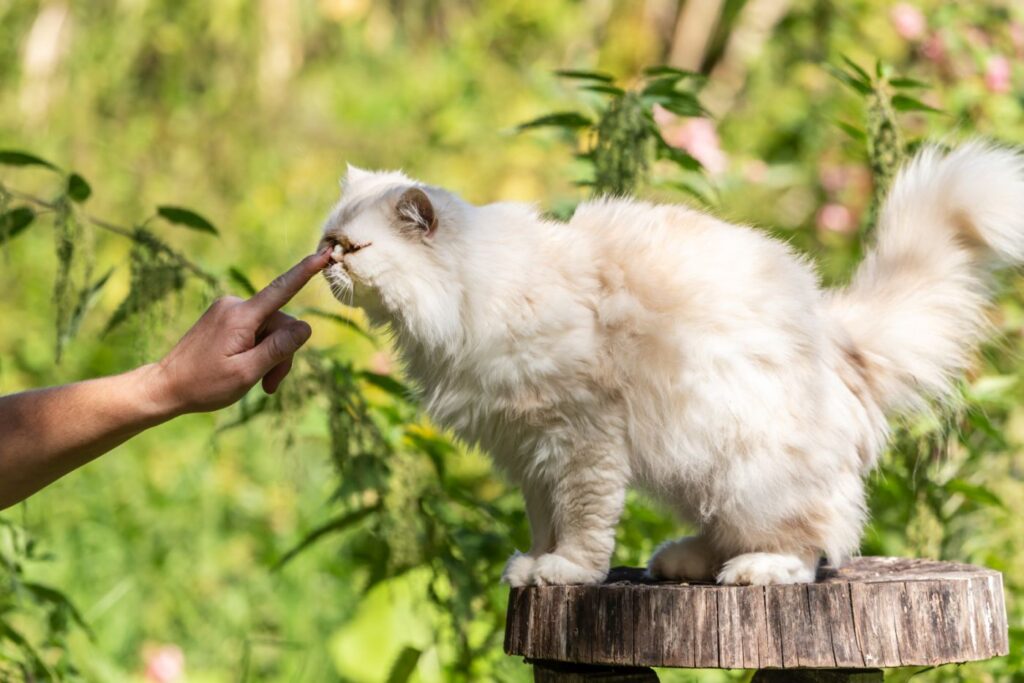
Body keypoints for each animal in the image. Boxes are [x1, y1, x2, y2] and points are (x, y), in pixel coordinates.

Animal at [317, 143, 1024, 589]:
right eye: (328, 242)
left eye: (352, 249)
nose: (323, 265)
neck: (473, 297)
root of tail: (834, 329)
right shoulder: (529, 452)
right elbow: (544, 522)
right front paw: (533, 569)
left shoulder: (580, 439)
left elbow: (582, 524)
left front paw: (566, 574)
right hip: (699, 475)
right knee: (738, 533)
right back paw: (682, 563)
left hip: (752, 472)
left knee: (810, 546)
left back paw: (755, 572)